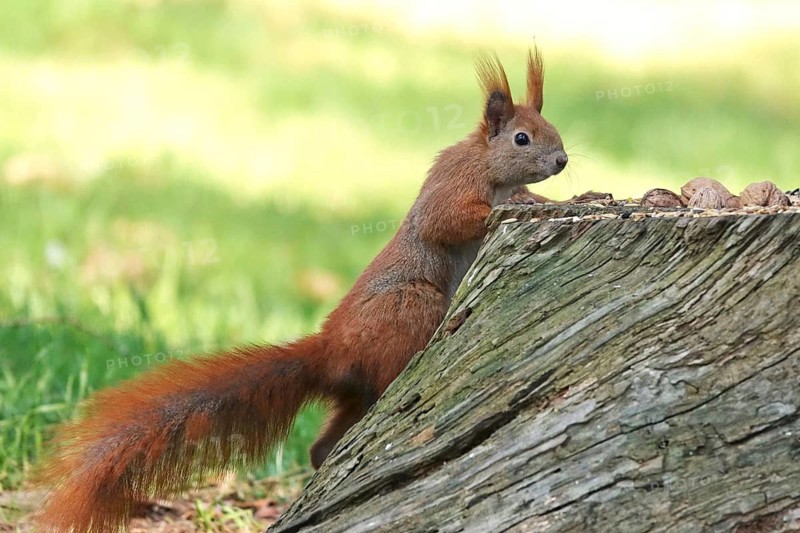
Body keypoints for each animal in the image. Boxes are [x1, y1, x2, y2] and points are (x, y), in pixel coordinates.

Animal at [36, 48, 567, 532]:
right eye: (521, 138)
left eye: (552, 129)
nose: (562, 160)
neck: (488, 165)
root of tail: (332, 349)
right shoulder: (452, 187)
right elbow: (450, 221)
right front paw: (527, 206)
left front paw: (551, 199)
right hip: (411, 305)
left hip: (356, 391)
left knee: (325, 441)